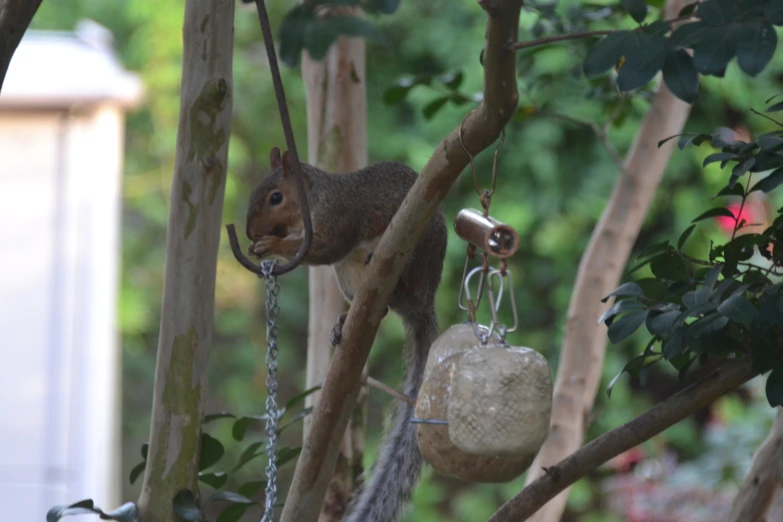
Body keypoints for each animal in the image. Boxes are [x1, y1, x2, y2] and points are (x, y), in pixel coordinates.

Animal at [248, 148, 450, 520]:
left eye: (275, 198)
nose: (250, 232)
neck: (315, 198)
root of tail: (422, 303)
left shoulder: (340, 218)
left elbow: (325, 247)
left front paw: (273, 244)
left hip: (419, 247)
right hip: (347, 275)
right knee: (378, 309)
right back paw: (344, 322)